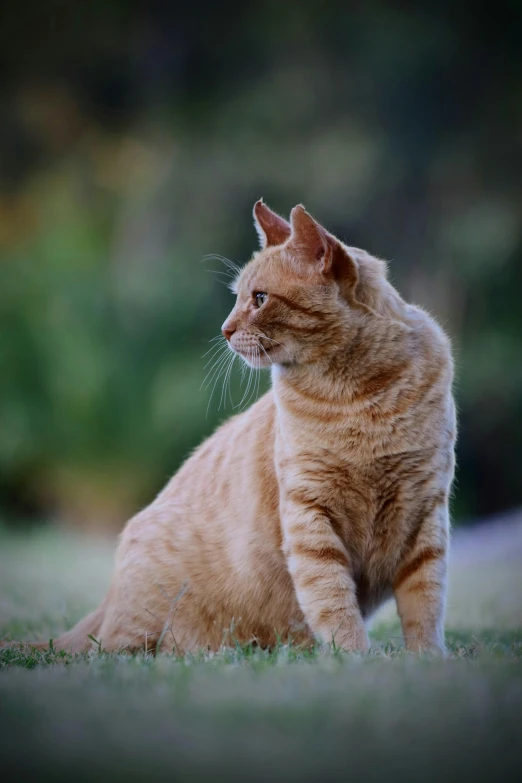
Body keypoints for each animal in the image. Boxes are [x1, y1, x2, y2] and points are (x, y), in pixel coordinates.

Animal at [22, 201, 452, 656]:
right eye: (239, 298)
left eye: (259, 298)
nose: (225, 330)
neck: (357, 395)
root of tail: (108, 598)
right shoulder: (309, 516)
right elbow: (333, 601)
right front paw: (352, 657)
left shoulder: (426, 512)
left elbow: (425, 602)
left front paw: (427, 658)